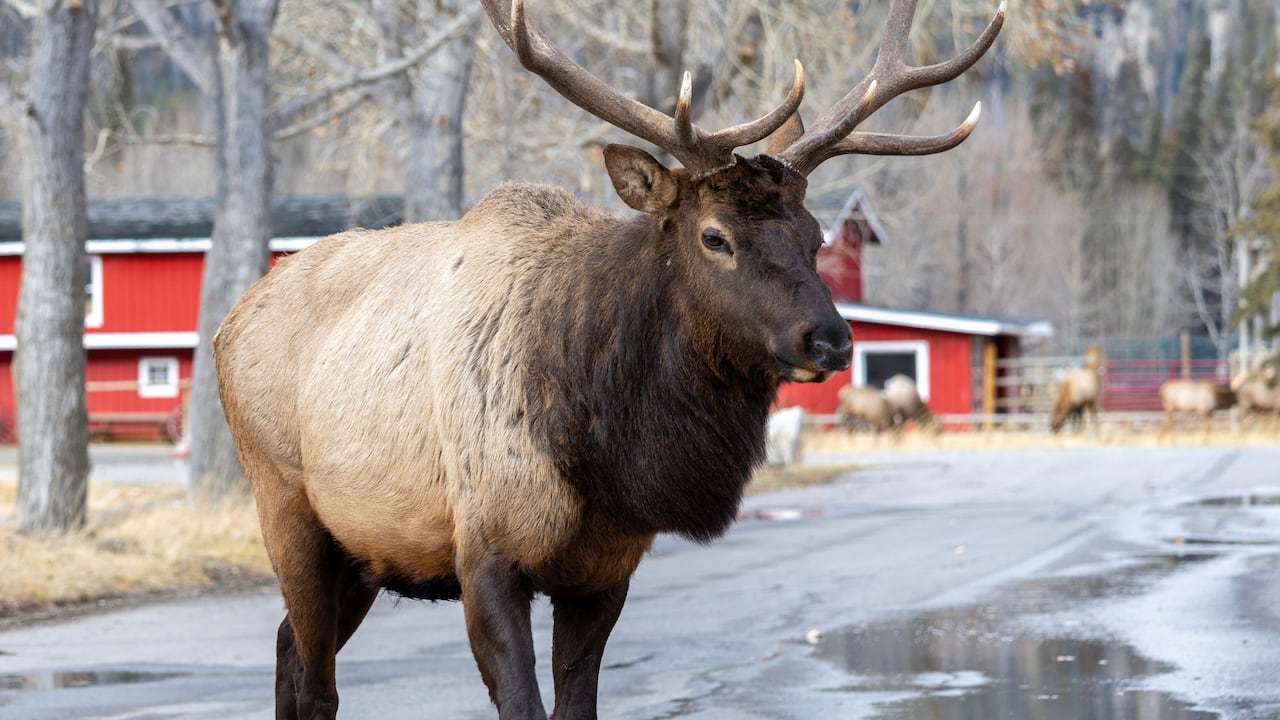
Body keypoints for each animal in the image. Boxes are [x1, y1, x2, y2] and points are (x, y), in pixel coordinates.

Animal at [212, 1, 1004, 717]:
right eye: (714, 237)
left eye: (814, 236)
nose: (831, 340)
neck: (601, 448)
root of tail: (230, 322)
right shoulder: (484, 548)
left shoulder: (605, 568)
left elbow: (578, 704)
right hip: (285, 502)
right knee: (316, 682)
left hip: (365, 552)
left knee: (286, 648)